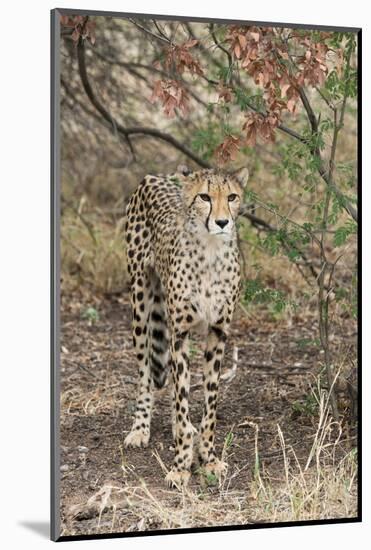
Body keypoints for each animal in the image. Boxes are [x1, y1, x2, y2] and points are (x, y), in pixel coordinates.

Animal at [123, 167, 248, 488]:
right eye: (204, 196)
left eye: (232, 197)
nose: (222, 222)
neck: (211, 252)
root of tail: (156, 175)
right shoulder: (180, 332)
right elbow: (181, 397)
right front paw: (180, 465)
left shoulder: (218, 331)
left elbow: (209, 401)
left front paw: (209, 458)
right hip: (140, 300)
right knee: (145, 372)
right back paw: (141, 428)